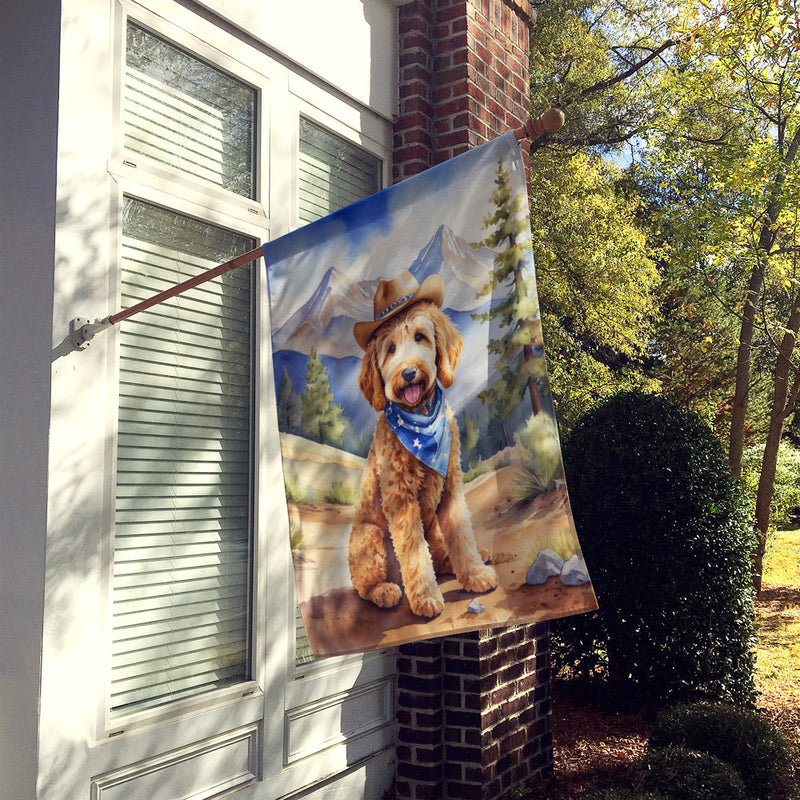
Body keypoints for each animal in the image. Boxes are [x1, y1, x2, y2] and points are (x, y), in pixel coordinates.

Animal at [348, 268, 494, 620]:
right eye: (389, 349)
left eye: (420, 337)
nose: (409, 373)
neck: (422, 416)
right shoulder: (401, 501)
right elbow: (414, 555)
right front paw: (426, 598)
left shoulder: (451, 486)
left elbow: (462, 535)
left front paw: (475, 574)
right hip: (370, 538)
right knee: (365, 586)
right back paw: (386, 590)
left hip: (431, 525)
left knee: (440, 553)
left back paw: (465, 559)